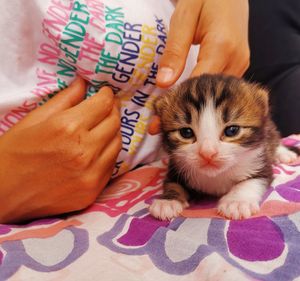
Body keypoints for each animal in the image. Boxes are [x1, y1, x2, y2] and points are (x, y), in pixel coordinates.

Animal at [149, 73, 298, 220]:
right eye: (186, 132)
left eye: (232, 131)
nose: (207, 153)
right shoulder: (177, 166)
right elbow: (172, 183)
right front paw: (168, 201)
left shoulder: (260, 163)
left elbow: (252, 181)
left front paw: (237, 202)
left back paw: (284, 154)